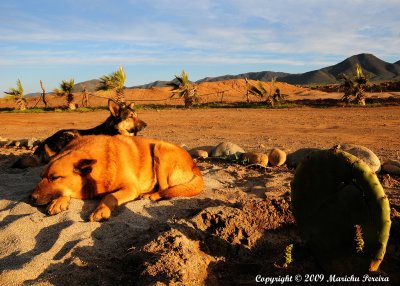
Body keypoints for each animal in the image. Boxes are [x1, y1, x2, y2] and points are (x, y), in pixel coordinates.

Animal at [12, 99, 147, 169]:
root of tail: (45, 141)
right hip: (71, 135)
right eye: (130, 117)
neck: (115, 130)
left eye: (136, 116)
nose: (146, 125)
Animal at [30, 135, 203, 222]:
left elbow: (108, 197)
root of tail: (195, 167)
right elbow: (65, 192)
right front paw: (58, 201)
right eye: (41, 177)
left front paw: (100, 210)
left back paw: (151, 195)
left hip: (160, 148)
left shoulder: (130, 188)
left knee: (165, 189)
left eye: (55, 177)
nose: (31, 198)